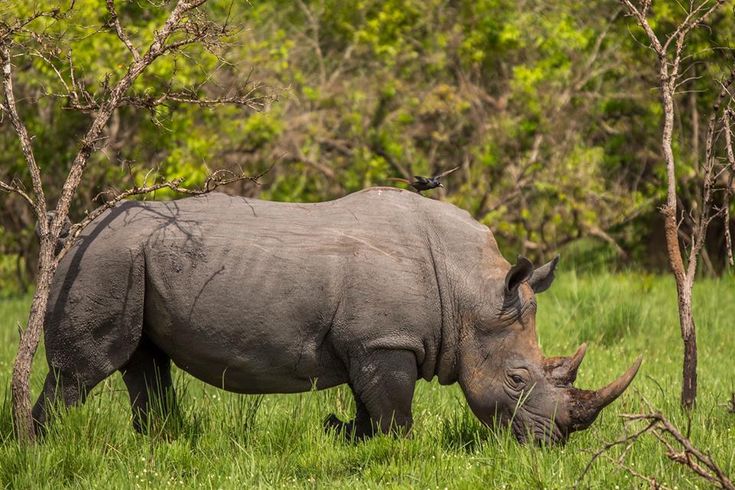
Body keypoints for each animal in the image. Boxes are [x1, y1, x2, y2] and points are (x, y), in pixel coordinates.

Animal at [33, 188, 641, 444]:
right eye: (517, 379)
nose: (553, 443)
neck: (470, 293)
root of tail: (76, 232)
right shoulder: (387, 340)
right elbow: (395, 412)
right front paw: (398, 455)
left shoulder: (371, 342)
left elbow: (369, 403)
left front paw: (348, 436)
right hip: (102, 262)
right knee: (83, 373)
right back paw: (40, 447)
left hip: (128, 260)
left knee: (145, 362)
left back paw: (165, 445)